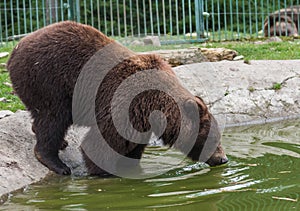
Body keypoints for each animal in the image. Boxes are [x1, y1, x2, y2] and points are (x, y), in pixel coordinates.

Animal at [7, 21, 227, 176]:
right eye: (213, 138)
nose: (223, 159)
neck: (157, 105)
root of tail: (16, 49)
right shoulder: (126, 101)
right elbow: (102, 141)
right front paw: (103, 171)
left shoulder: (141, 116)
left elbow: (133, 144)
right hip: (49, 79)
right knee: (53, 118)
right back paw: (56, 162)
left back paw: (59, 143)